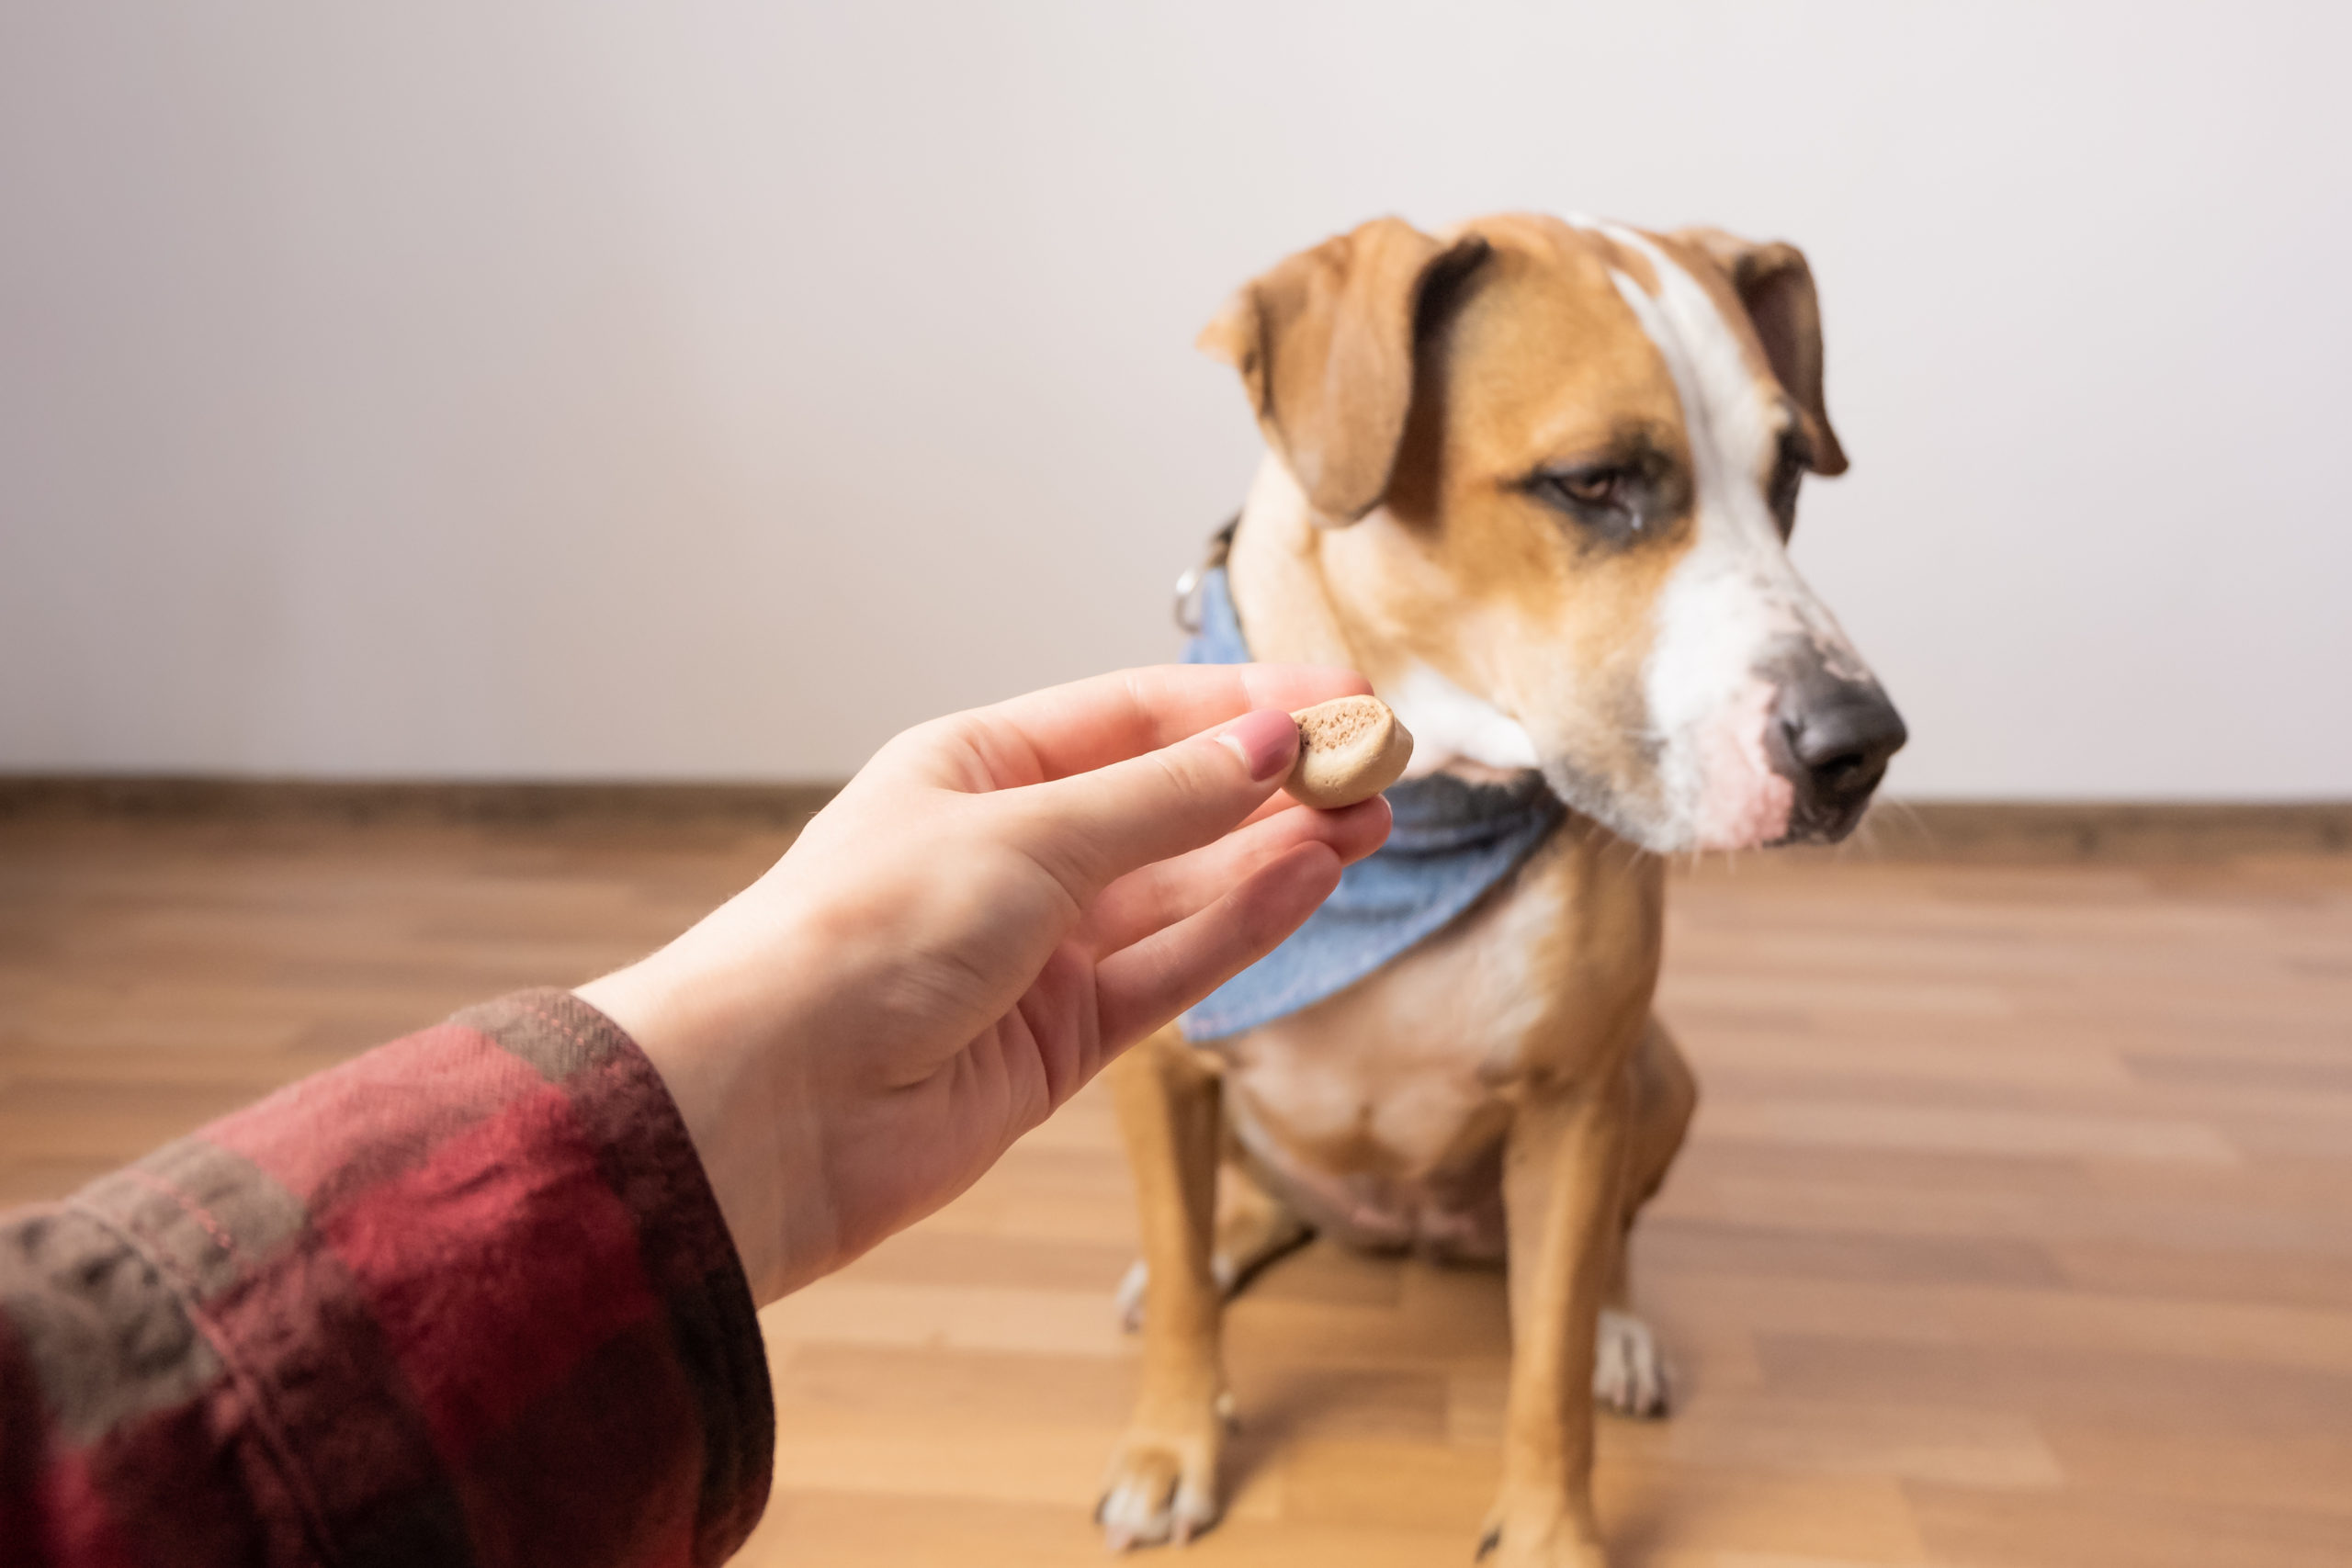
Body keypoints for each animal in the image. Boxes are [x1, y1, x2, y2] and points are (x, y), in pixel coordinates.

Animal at [1101, 211, 1909, 1568]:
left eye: (1790, 477)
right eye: (1590, 481)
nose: (1860, 746)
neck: (1424, 809)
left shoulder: (1576, 1102)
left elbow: (1549, 1357)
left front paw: (1551, 1529)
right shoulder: (1161, 1067)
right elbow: (1173, 1274)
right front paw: (1170, 1442)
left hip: (1657, 1073)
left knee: (1609, 1253)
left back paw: (1625, 1334)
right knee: (1241, 1214)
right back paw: (1202, 1258)